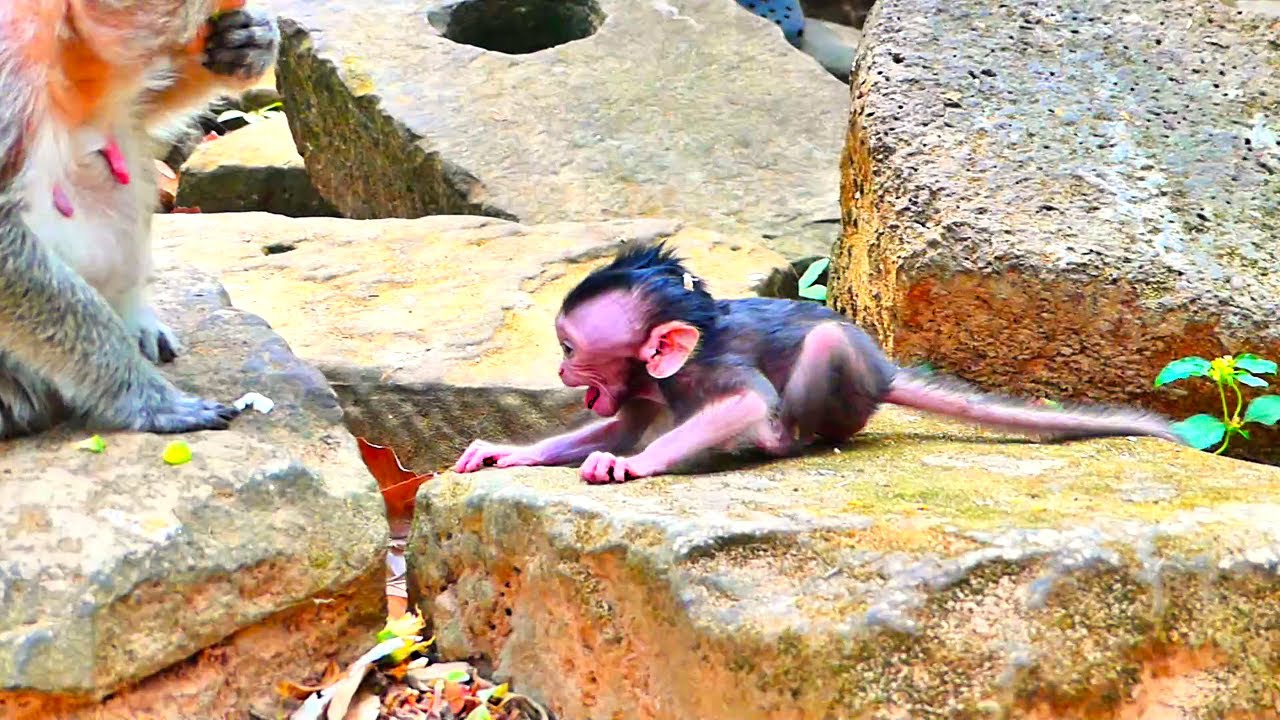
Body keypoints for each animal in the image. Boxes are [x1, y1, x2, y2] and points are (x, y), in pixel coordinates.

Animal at [454, 242, 1185, 484]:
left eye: (569, 350)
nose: (560, 374)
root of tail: (884, 371)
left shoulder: (708, 372)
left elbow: (744, 401)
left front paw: (634, 465)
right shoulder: (643, 390)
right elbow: (621, 423)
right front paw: (507, 453)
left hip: (845, 381)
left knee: (818, 364)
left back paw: (782, 441)